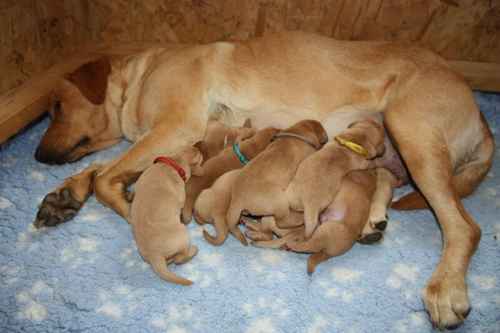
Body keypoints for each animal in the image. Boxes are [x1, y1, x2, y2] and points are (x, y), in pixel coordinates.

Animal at [131, 145, 205, 286]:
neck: (172, 164)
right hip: (183, 234)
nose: (198, 147)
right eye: (199, 156)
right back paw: (194, 250)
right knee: (179, 258)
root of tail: (155, 256)